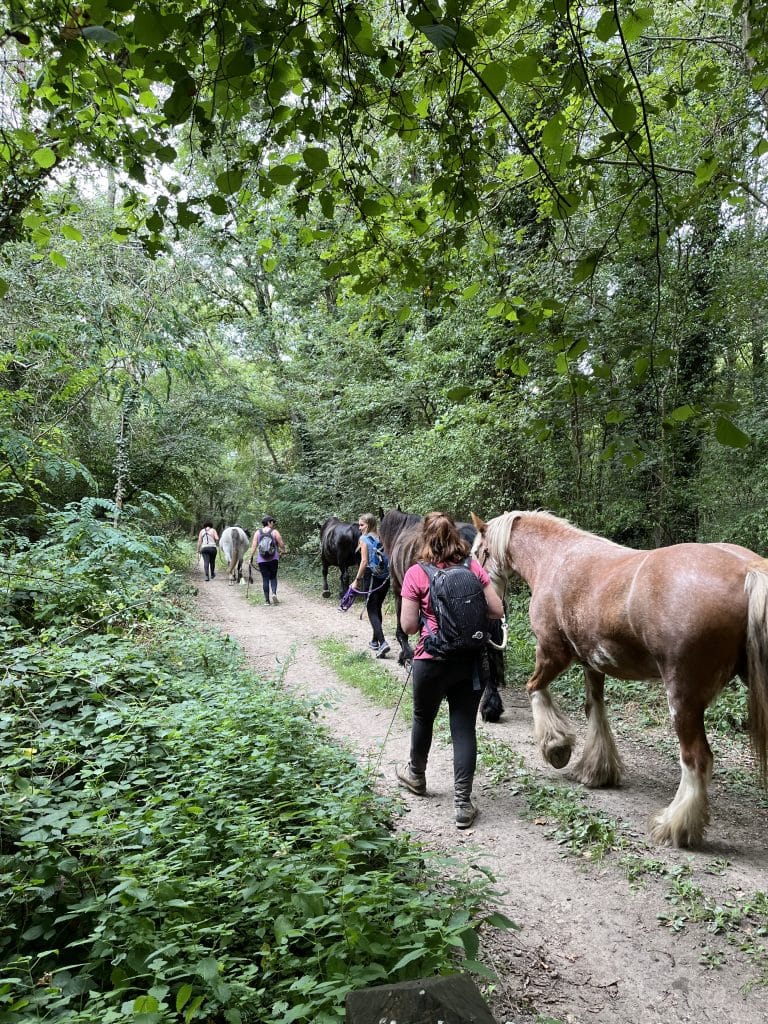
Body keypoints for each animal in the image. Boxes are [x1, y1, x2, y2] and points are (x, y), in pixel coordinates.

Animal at [473, 512, 768, 847]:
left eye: (476, 552)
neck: (555, 558)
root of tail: (747, 569)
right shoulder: (592, 663)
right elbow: (595, 710)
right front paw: (597, 770)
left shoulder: (552, 653)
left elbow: (535, 688)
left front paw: (556, 748)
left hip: (683, 698)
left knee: (696, 759)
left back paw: (675, 826)